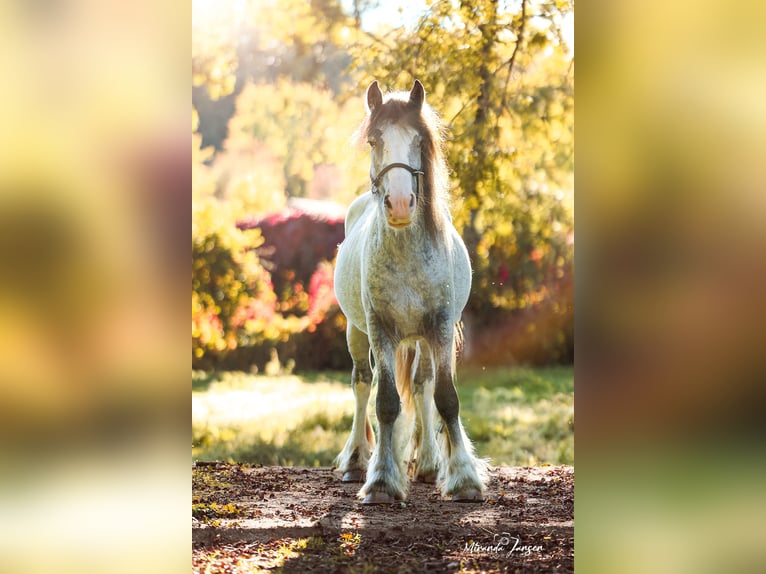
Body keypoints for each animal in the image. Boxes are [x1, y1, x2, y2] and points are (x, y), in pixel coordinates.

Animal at [332, 80, 488, 504]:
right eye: (374, 140)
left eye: (418, 140)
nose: (400, 204)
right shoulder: (381, 328)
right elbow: (386, 401)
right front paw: (382, 480)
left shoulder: (440, 328)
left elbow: (445, 398)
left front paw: (463, 478)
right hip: (356, 332)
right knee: (361, 384)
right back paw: (356, 459)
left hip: (422, 338)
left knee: (421, 385)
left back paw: (431, 463)